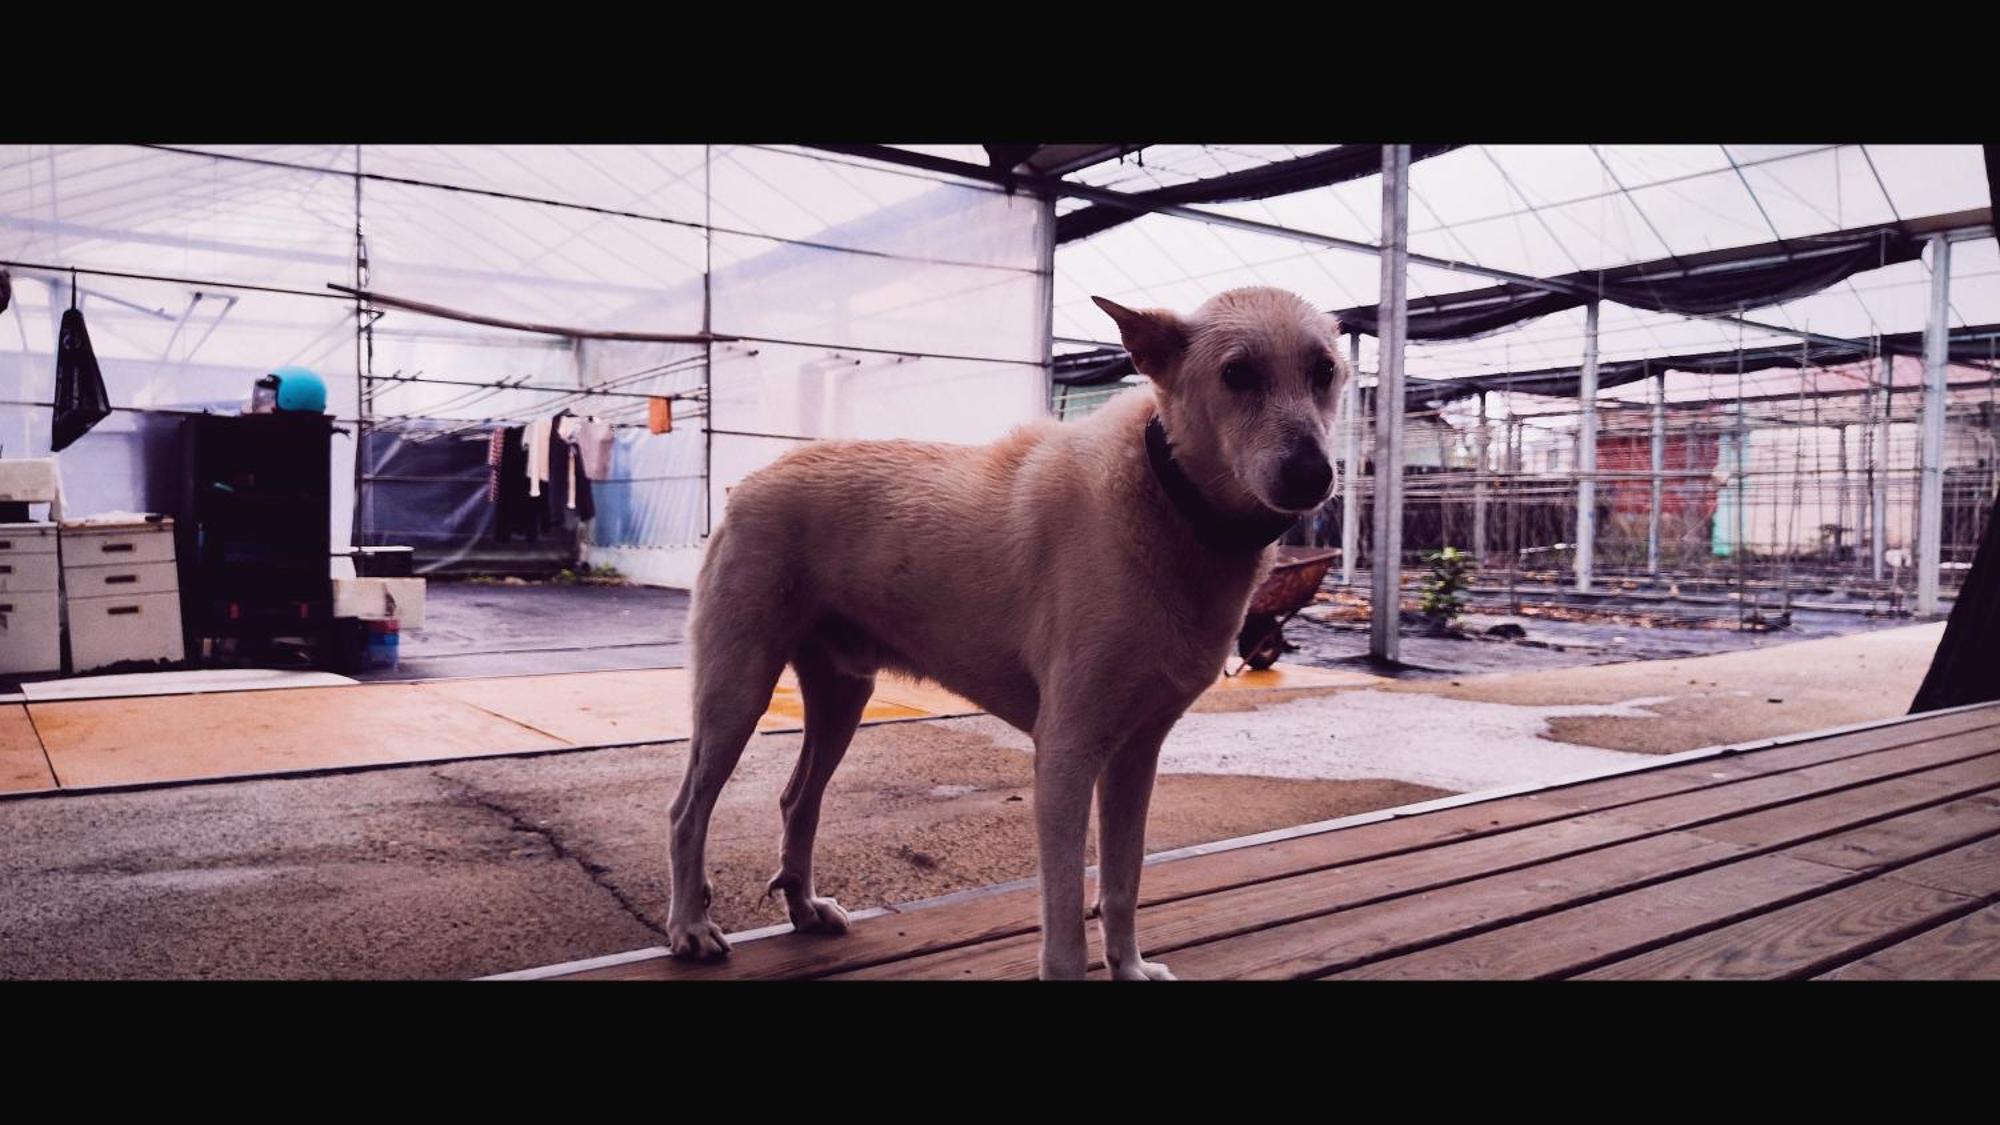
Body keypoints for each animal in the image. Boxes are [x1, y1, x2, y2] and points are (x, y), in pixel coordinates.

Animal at [668, 282, 1344, 972]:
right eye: (1237, 374)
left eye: (1325, 371)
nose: (1313, 475)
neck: (1168, 497)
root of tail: (749, 482)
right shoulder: (1067, 755)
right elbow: (1066, 926)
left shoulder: (1136, 757)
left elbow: (1123, 884)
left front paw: (1129, 967)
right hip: (737, 690)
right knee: (687, 811)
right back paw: (691, 927)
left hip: (842, 697)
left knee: (796, 799)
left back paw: (804, 908)